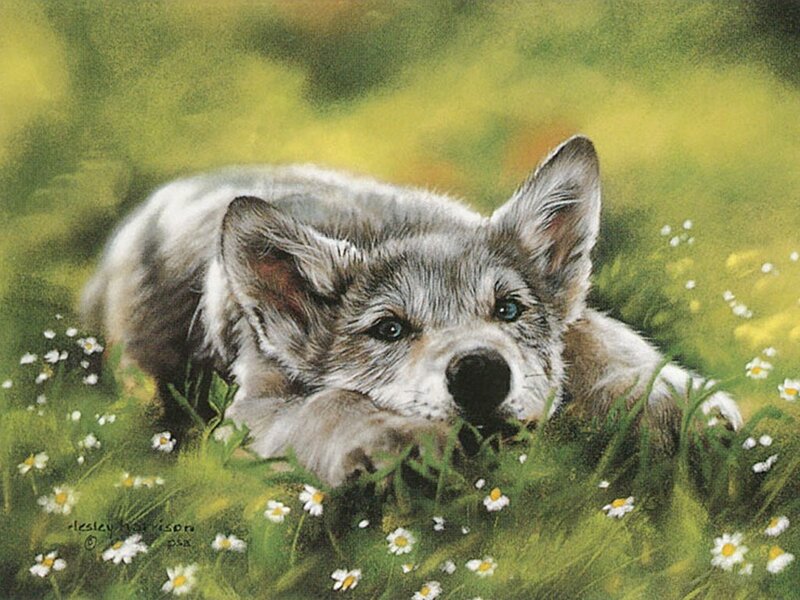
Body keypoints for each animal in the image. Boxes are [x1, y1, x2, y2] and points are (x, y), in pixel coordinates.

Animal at [82, 136, 741, 485]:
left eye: (509, 308)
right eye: (388, 328)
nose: (480, 373)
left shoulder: (575, 322)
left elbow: (601, 339)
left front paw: (672, 400)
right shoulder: (254, 406)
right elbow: (329, 404)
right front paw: (390, 439)